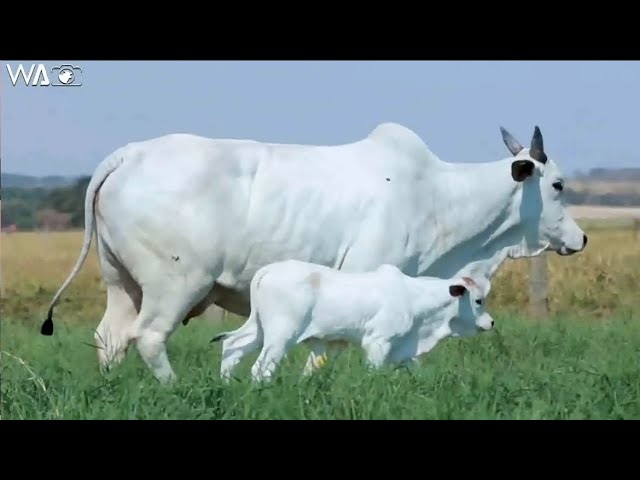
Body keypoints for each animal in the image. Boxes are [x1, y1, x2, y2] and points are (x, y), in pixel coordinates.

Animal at [210, 258, 496, 382]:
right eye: (478, 300)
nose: (492, 323)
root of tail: (268, 270)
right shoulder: (378, 342)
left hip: (259, 331)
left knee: (232, 347)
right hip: (281, 336)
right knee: (260, 369)